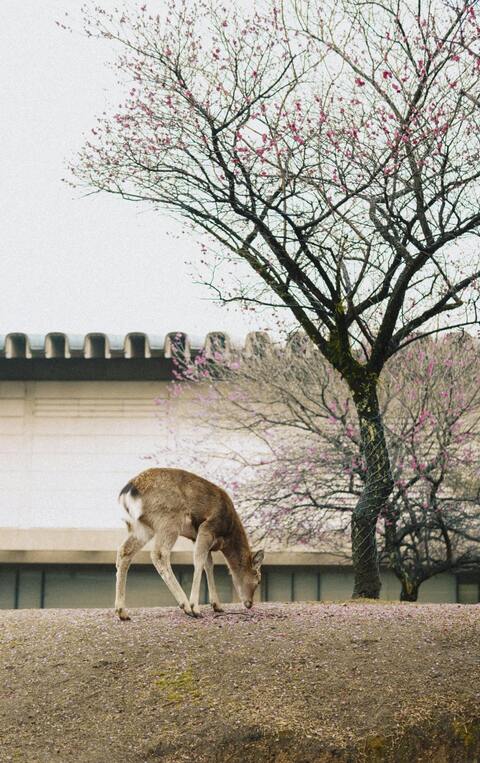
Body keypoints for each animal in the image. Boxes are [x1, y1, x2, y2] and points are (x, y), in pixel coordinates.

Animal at [114, 467, 264, 620]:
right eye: (258, 580)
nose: (249, 603)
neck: (228, 534)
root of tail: (129, 490)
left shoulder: (195, 537)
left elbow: (209, 565)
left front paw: (217, 605)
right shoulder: (207, 527)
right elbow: (199, 561)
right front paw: (195, 607)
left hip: (142, 527)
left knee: (124, 551)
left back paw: (122, 612)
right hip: (169, 520)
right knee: (159, 554)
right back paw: (186, 606)